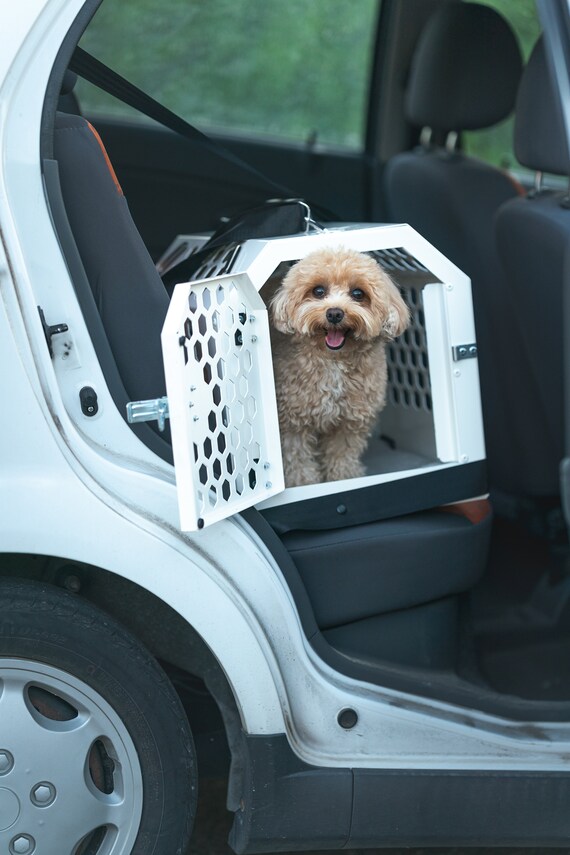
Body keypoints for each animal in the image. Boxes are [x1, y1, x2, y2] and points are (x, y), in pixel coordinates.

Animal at [268, 247, 406, 488]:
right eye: (318, 291)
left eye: (358, 293)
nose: (334, 313)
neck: (334, 361)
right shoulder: (293, 422)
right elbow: (298, 458)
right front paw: (304, 484)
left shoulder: (349, 422)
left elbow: (342, 454)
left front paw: (344, 479)